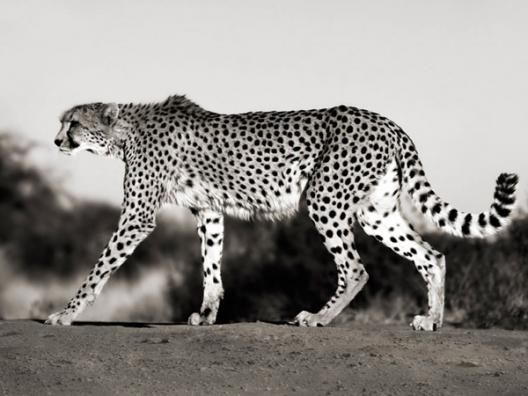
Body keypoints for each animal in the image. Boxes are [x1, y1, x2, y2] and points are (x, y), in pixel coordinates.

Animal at [47, 94, 516, 330]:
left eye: (73, 124)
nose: (56, 141)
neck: (127, 131)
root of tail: (385, 120)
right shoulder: (209, 210)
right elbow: (211, 266)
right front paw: (208, 314)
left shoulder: (138, 215)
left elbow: (100, 268)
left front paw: (66, 313)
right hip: (376, 213)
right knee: (432, 255)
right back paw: (431, 320)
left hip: (325, 198)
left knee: (356, 268)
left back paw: (318, 317)